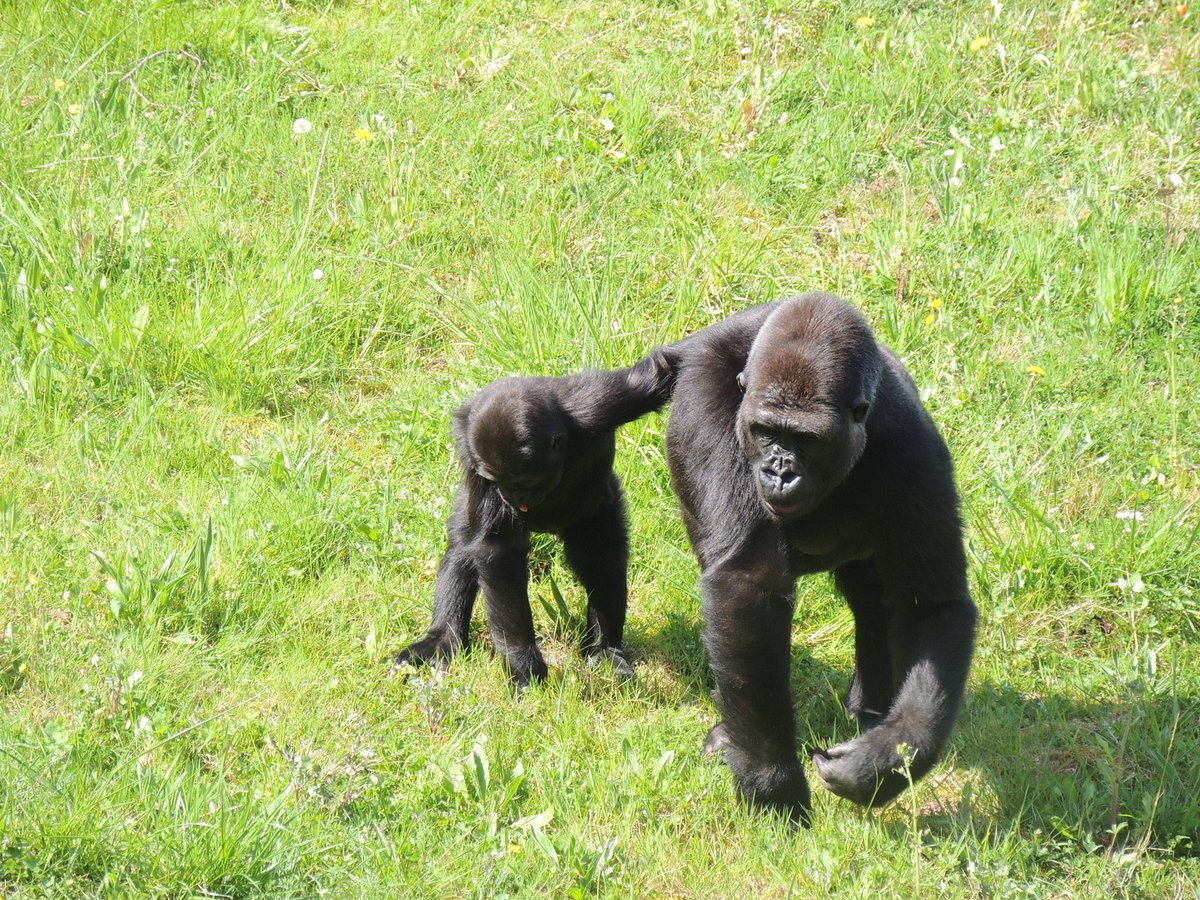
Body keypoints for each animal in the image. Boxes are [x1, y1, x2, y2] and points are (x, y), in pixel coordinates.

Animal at [396, 355, 672, 686]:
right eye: (496, 481)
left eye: (521, 481)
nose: (510, 498)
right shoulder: (471, 454)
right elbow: (496, 549)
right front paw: (523, 662)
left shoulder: (601, 402)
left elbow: (659, 374)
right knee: (463, 548)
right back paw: (441, 639)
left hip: (600, 509)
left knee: (601, 563)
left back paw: (605, 650)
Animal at [662, 294, 979, 825]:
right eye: (766, 431)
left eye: (806, 439)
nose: (779, 472)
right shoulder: (707, 405)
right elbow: (748, 586)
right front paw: (771, 784)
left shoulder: (917, 454)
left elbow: (931, 605)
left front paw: (889, 758)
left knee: (875, 605)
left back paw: (871, 711)